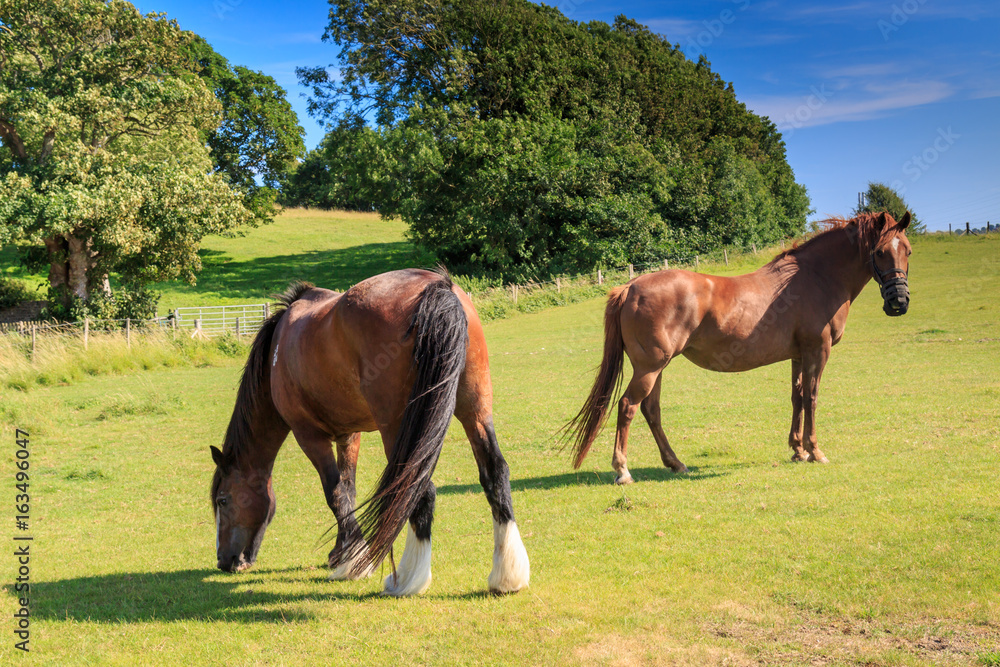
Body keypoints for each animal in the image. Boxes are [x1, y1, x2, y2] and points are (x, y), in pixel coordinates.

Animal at [209, 268, 532, 596]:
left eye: (223, 500)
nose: (225, 561)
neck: (279, 347)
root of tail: (437, 285)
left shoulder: (308, 435)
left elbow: (335, 493)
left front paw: (352, 561)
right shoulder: (349, 435)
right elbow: (347, 489)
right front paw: (342, 552)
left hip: (399, 427)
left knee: (417, 487)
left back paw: (409, 579)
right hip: (474, 410)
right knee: (495, 472)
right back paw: (506, 575)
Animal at [568, 211, 912, 482]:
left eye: (907, 251)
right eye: (880, 251)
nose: (899, 301)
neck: (816, 277)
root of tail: (630, 286)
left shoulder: (798, 355)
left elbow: (797, 398)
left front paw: (798, 450)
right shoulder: (818, 350)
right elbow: (812, 398)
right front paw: (815, 451)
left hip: (655, 368)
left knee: (651, 410)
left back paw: (676, 463)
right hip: (649, 368)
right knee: (628, 406)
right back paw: (623, 470)